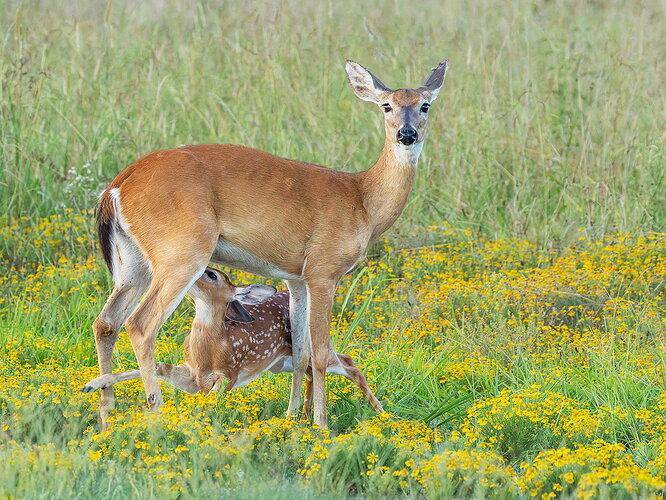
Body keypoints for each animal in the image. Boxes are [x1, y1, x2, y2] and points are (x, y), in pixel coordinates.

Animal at [82, 267, 384, 417]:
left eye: (212, 274)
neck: (209, 349)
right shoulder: (191, 376)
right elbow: (158, 366)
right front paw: (93, 384)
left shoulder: (230, 373)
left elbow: (215, 391)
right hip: (282, 362)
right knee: (312, 372)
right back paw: (306, 414)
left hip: (313, 350)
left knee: (349, 364)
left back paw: (382, 415)